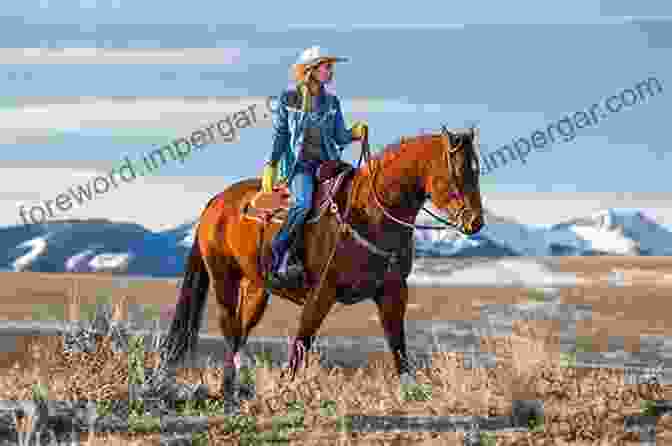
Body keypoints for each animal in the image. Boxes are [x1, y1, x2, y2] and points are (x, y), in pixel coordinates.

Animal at [158, 124, 484, 400]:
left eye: (477, 171)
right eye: (457, 173)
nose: (475, 222)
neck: (371, 214)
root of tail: (215, 202)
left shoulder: (392, 292)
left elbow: (398, 346)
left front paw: (411, 391)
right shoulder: (322, 292)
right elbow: (301, 344)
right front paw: (286, 389)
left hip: (256, 288)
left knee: (240, 330)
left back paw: (232, 386)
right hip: (223, 276)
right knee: (228, 326)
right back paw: (228, 388)